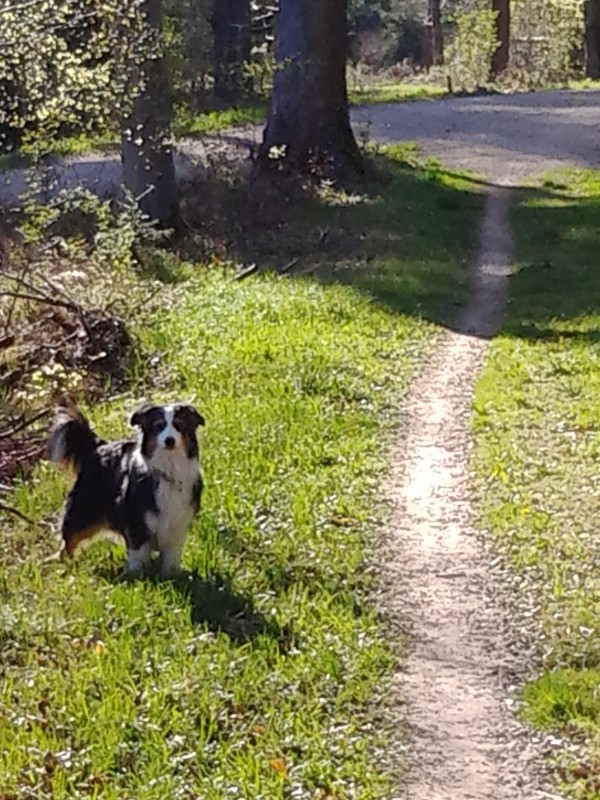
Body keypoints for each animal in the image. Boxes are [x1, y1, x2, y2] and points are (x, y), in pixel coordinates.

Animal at [47, 400, 206, 576]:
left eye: (179, 425)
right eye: (159, 426)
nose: (169, 440)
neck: (168, 469)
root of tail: (99, 447)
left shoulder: (177, 526)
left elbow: (170, 559)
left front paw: (170, 576)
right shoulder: (137, 524)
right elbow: (139, 557)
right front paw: (138, 577)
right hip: (84, 511)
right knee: (68, 540)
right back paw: (65, 568)